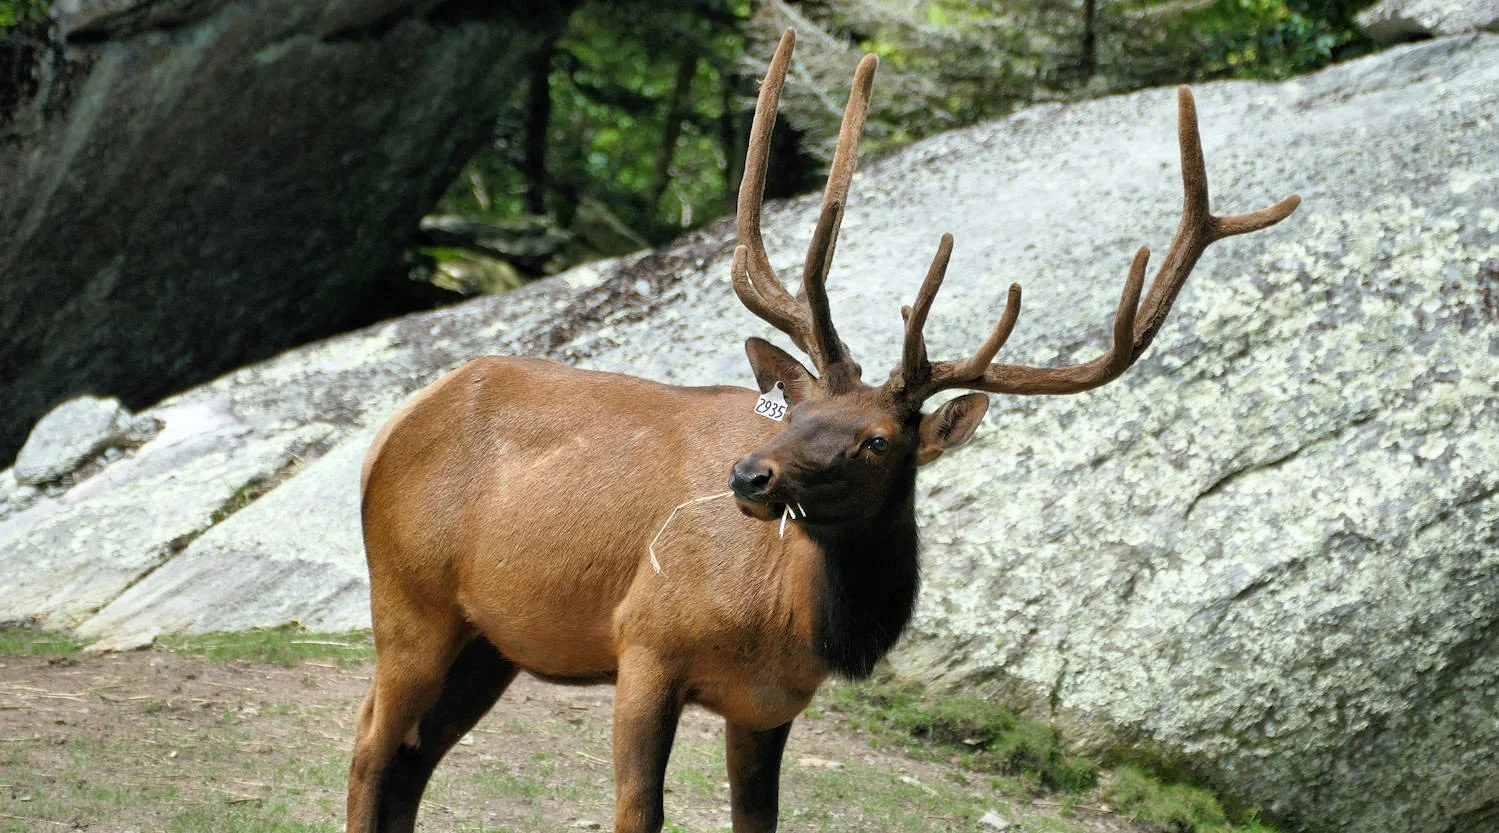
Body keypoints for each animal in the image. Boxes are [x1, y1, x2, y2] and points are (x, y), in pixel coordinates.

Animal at [346, 28, 1298, 833]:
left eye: (879, 440)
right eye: (796, 411)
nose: (748, 476)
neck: (792, 618)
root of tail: (394, 421)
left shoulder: (767, 702)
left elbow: (757, 822)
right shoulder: (644, 641)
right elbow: (636, 812)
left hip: (489, 638)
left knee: (411, 757)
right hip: (410, 597)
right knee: (368, 745)